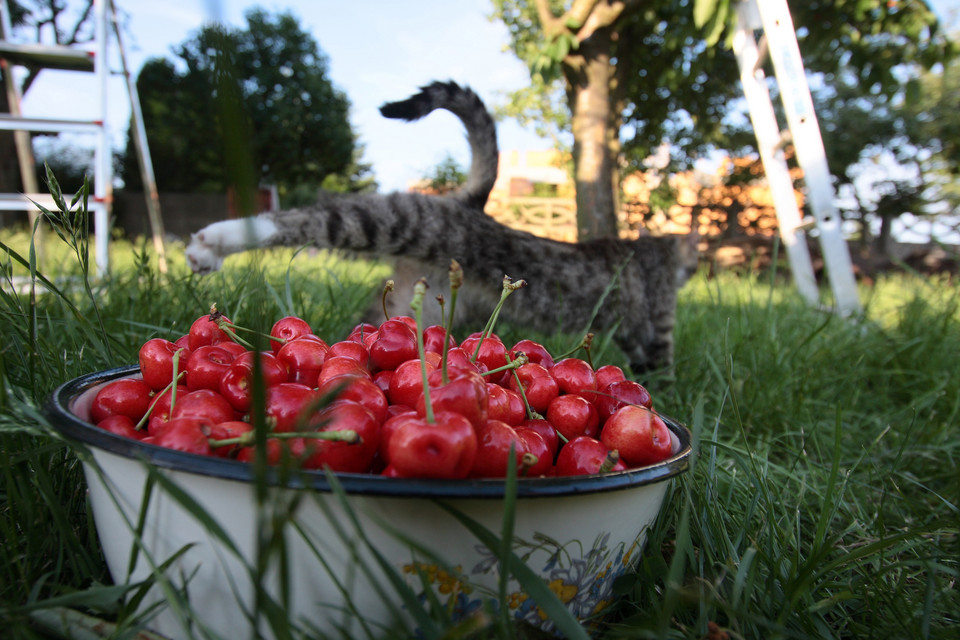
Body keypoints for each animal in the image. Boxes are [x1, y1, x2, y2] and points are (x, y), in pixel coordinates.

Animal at [184, 81, 692, 370]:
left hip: (411, 304)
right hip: (394, 220)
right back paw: (211, 243)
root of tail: (470, 205)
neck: (655, 250)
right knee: (305, 219)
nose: (692, 269)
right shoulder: (660, 319)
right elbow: (661, 361)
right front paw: (662, 386)